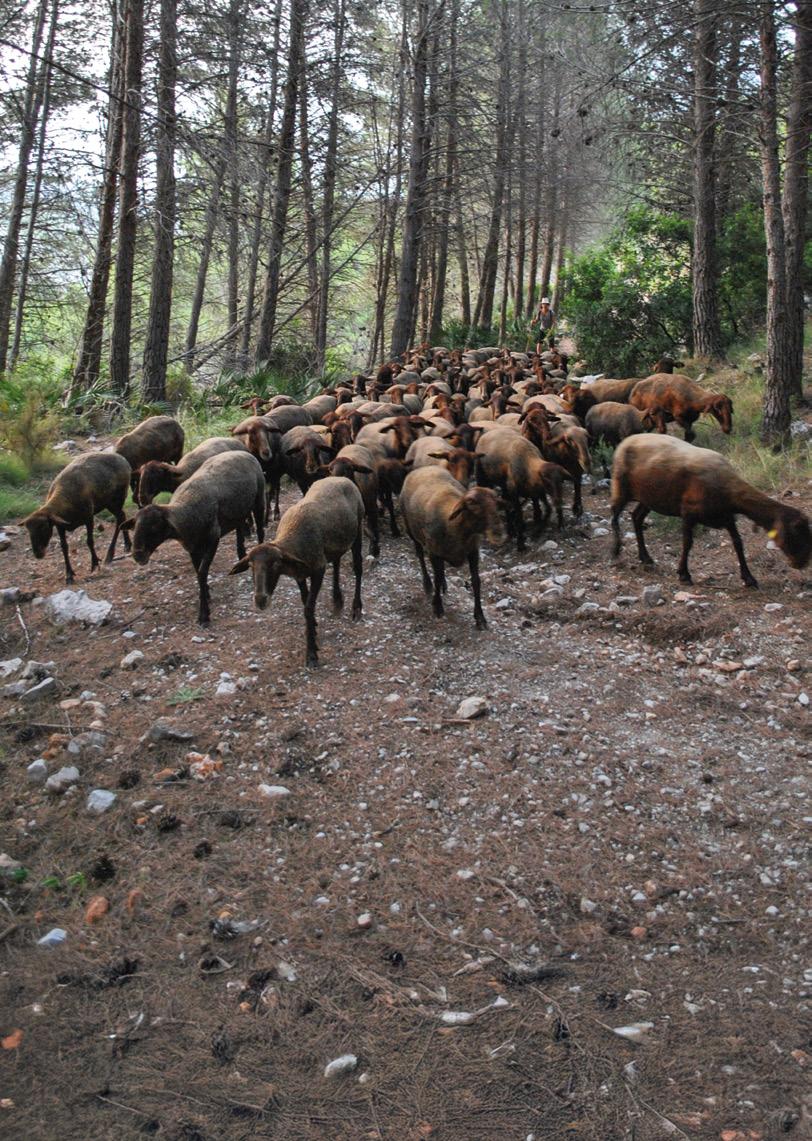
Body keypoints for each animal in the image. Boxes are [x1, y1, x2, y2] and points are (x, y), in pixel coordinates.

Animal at [22, 452, 132, 584]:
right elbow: (64, 547)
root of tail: (122, 459)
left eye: (44, 527)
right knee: (122, 516)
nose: (38, 554)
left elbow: (89, 541)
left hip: (116, 499)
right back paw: (127, 545)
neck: (65, 498)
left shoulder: (89, 518)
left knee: (119, 519)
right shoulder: (60, 526)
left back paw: (110, 554)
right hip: (111, 503)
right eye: (28, 530)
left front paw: (95, 563)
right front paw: (69, 574)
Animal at [123, 451, 266, 625]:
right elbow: (198, 572)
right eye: (135, 527)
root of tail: (242, 451)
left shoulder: (213, 539)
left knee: (260, 530)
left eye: (155, 527)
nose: (138, 555)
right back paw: (241, 557)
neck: (187, 509)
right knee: (239, 530)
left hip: (259, 499)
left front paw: (203, 614)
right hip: (238, 510)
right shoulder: (191, 545)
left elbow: (202, 572)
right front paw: (206, 593)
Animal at [230, 476, 365, 666]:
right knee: (337, 562)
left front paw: (311, 653)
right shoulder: (299, 576)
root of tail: (342, 477)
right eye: (251, 565)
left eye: (275, 564)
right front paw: (313, 628)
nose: (260, 600)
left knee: (358, 568)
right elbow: (304, 601)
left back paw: (356, 608)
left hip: (358, 528)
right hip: (335, 543)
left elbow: (308, 607)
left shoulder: (318, 569)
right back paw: (337, 599)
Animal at [400, 466, 504, 628]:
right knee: (420, 556)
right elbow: (436, 577)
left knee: (440, 570)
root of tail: (423, 468)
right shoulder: (433, 553)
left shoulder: (473, 551)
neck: (455, 528)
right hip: (411, 530)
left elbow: (476, 581)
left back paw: (443, 584)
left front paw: (480, 617)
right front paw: (437, 607)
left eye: (496, 504)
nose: (497, 532)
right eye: (472, 504)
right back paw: (427, 584)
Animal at [610, 434, 811, 587]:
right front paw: (684, 574)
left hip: (650, 497)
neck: (730, 491)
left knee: (636, 517)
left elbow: (738, 543)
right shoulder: (688, 512)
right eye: (796, 531)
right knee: (614, 515)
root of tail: (626, 440)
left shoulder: (727, 517)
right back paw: (615, 550)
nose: (802, 563)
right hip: (621, 486)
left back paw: (645, 557)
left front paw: (749, 578)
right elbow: (687, 543)